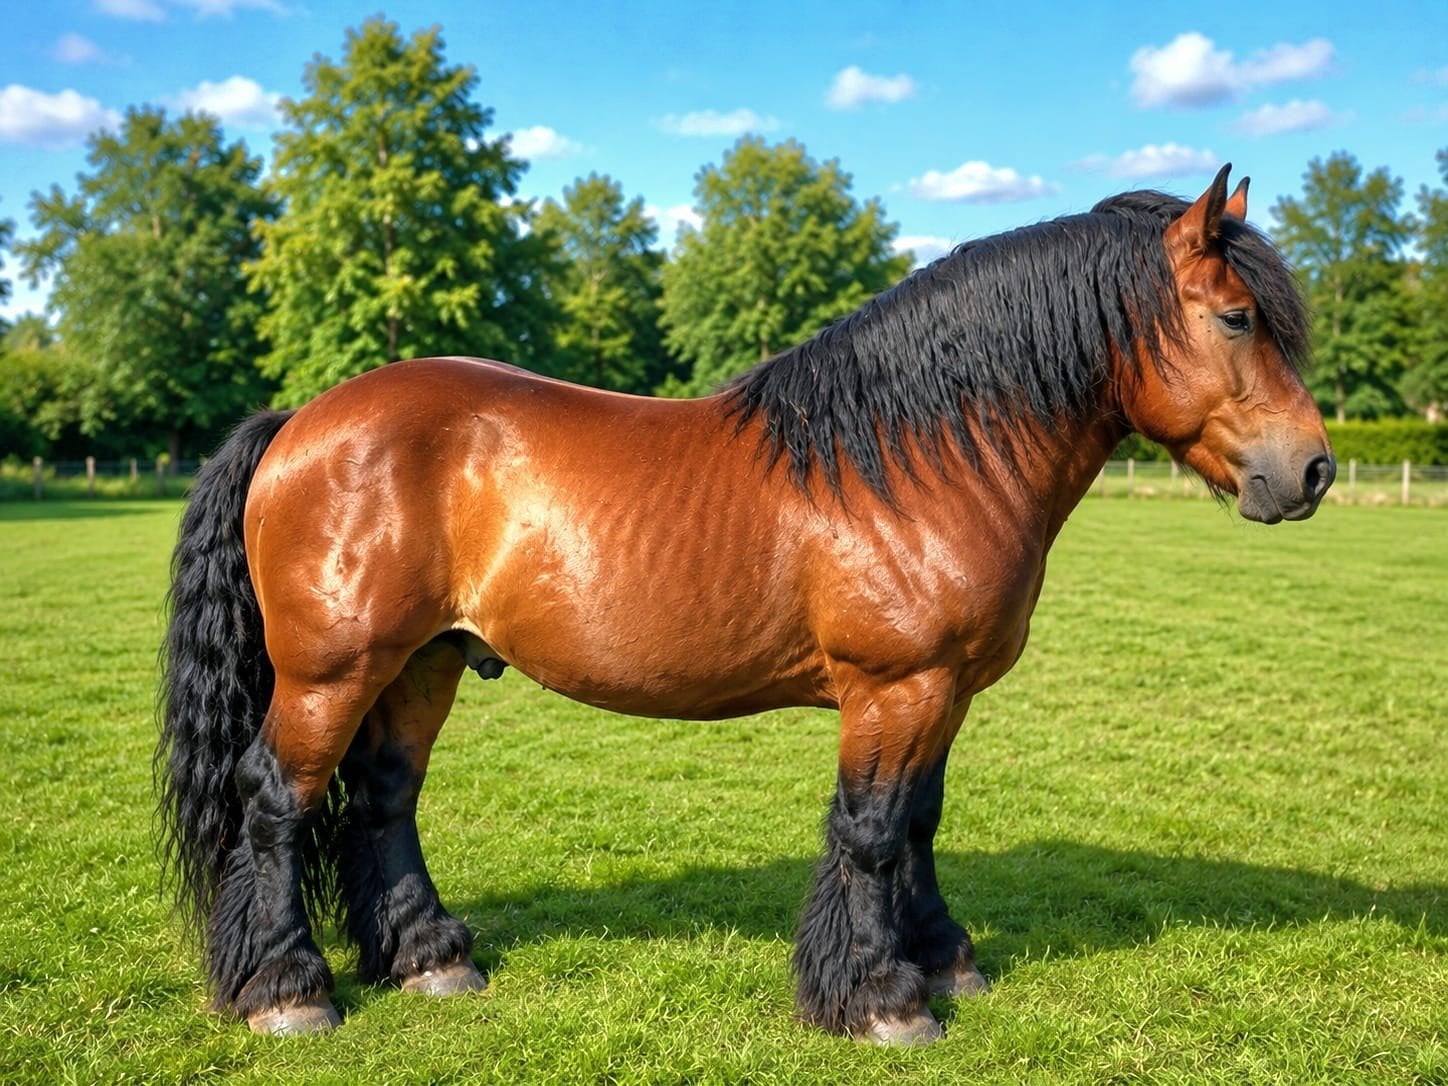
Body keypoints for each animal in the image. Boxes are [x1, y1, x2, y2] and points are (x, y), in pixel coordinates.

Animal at [157, 165, 1333, 1044]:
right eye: (1237, 318)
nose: (1313, 471)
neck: (915, 455)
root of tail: (301, 420)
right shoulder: (894, 690)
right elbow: (871, 832)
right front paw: (882, 999)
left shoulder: (944, 691)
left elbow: (920, 823)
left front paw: (943, 961)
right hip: (333, 672)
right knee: (278, 800)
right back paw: (289, 990)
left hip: (421, 662)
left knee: (385, 799)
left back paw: (430, 959)